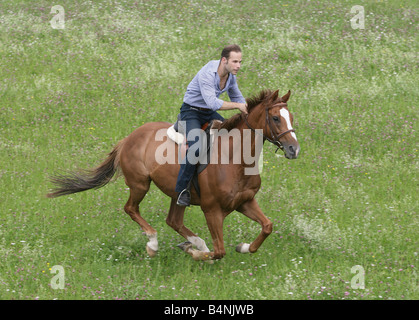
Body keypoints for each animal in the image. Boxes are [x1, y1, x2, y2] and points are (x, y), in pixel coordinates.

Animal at [47, 89, 300, 260]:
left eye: (291, 117)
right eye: (275, 118)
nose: (293, 149)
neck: (235, 158)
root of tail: (128, 138)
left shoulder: (245, 201)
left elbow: (267, 226)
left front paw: (244, 247)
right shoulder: (212, 210)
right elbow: (219, 251)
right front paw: (194, 252)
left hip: (177, 193)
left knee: (173, 220)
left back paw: (195, 243)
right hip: (140, 184)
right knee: (131, 209)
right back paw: (154, 243)